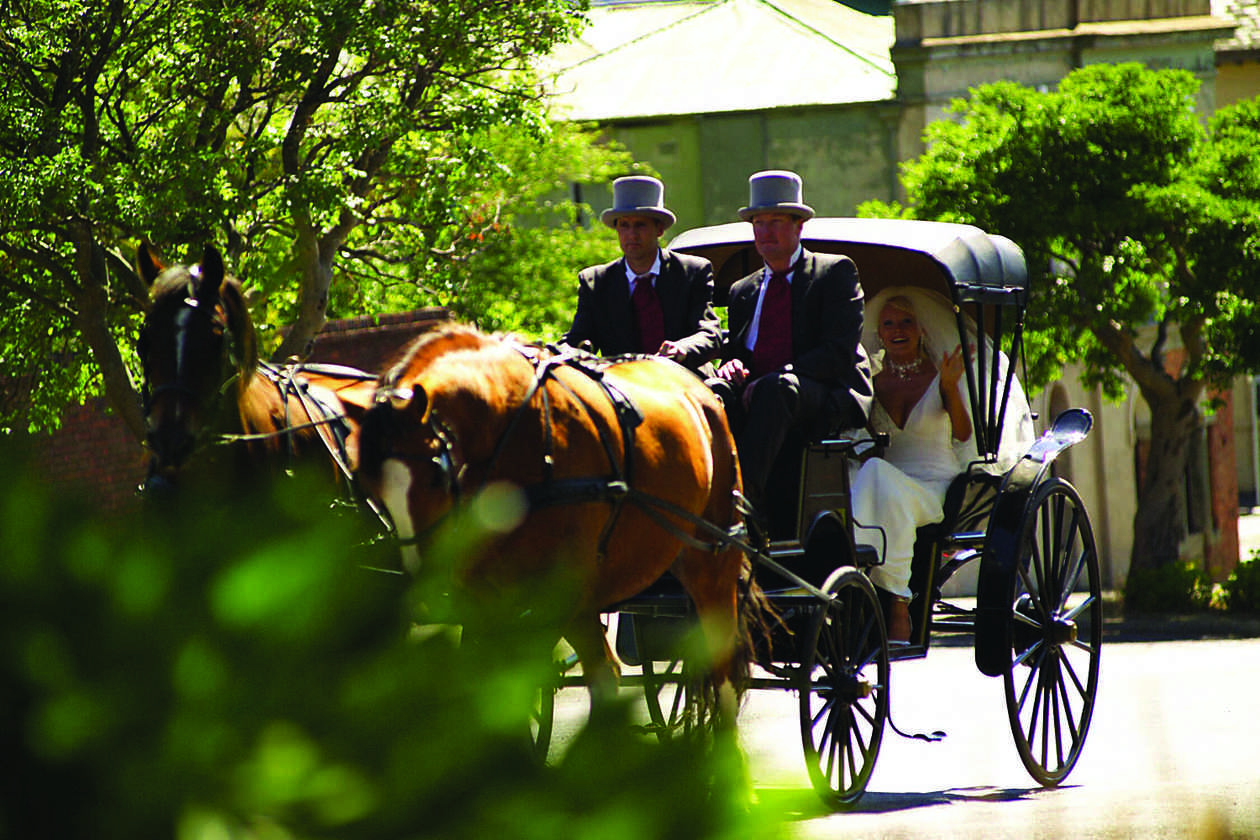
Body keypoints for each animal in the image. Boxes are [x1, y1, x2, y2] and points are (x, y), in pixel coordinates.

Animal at [357, 327, 766, 735]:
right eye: (372, 487)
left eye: (434, 476)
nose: (426, 591)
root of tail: (702, 392)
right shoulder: (491, 600)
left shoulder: (555, 593)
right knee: (608, 674)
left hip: (710, 562)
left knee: (720, 666)